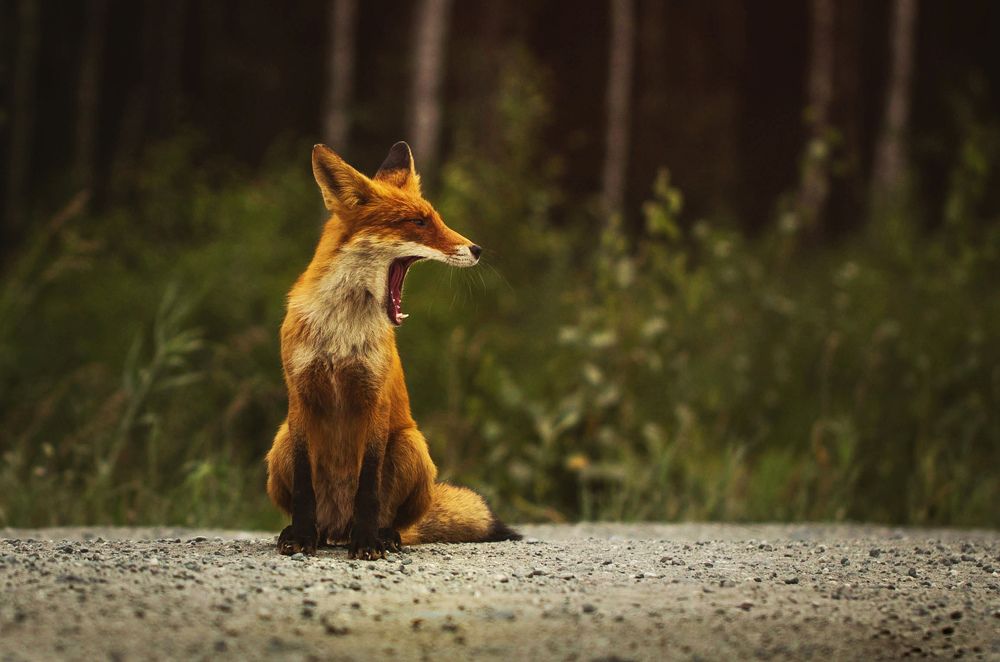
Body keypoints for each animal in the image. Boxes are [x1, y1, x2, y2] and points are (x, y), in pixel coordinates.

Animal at [265, 141, 520, 560]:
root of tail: (337, 527)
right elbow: (304, 486)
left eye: (435, 218)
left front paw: (368, 542)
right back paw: (308, 533)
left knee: (393, 519)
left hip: (411, 445)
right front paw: (301, 537)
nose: (477, 249)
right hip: (281, 442)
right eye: (418, 222)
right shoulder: (300, 394)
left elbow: (368, 486)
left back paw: (381, 535)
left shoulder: (376, 397)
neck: (341, 334)